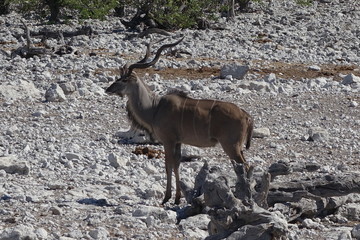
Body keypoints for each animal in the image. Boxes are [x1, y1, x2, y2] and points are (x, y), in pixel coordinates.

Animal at [106, 37, 253, 204]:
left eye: (124, 79)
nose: (108, 89)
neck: (155, 108)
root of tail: (246, 115)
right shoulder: (178, 142)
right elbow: (176, 164)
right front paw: (177, 198)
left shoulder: (168, 141)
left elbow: (167, 165)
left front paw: (166, 198)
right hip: (237, 146)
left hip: (230, 145)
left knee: (244, 166)